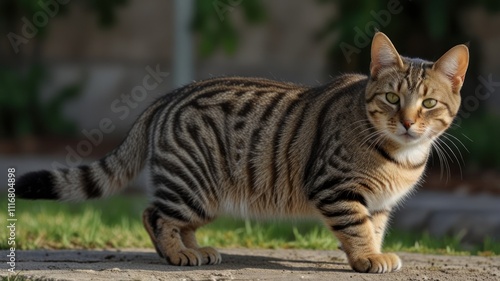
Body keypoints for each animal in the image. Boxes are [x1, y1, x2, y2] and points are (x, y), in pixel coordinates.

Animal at [16, 32, 468, 272]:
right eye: (392, 98)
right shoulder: (336, 189)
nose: (407, 121)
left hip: (204, 196)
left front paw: (371, 252)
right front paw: (367, 258)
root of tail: (169, 95)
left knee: (171, 219)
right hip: (193, 188)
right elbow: (356, 228)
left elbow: (372, 227)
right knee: (155, 215)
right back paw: (178, 254)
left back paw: (196, 249)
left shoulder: (379, 203)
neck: (401, 157)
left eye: (428, 104)